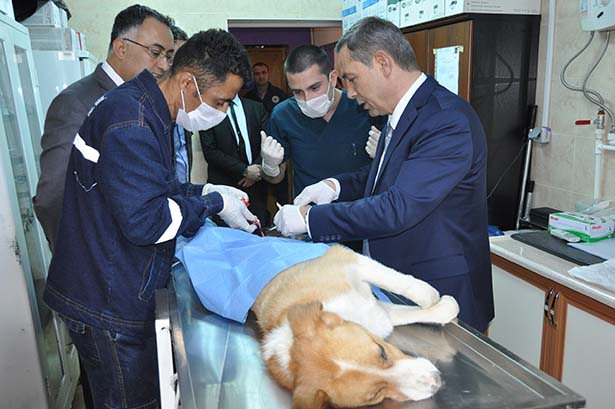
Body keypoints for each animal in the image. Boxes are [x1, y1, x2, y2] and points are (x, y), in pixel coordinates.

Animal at [251, 245, 460, 409]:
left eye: (382, 352)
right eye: (376, 394)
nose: (437, 380)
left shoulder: (349, 259)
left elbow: (400, 282)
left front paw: (431, 298)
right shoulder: (381, 314)